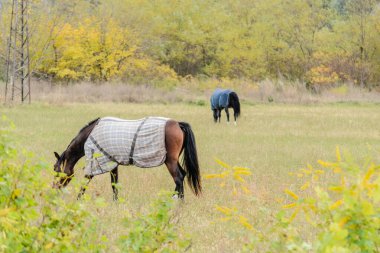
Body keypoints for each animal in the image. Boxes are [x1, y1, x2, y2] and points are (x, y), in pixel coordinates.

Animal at [54, 116, 202, 200]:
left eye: (56, 170)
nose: (54, 189)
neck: (90, 134)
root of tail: (178, 124)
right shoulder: (112, 162)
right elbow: (114, 184)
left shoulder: (97, 162)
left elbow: (85, 182)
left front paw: (77, 201)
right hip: (174, 161)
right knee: (183, 175)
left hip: (170, 161)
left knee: (178, 178)